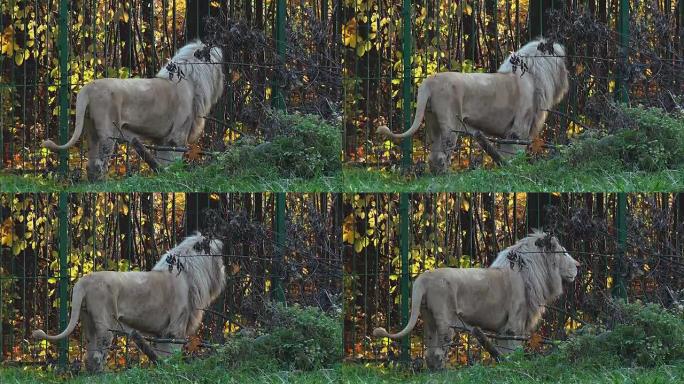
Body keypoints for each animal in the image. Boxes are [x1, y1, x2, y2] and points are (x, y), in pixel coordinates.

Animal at [32, 234, 224, 372]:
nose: (224, 267)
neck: (188, 270)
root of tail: (83, 281)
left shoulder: (162, 332)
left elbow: (163, 354)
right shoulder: (175, 328)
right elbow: (173, 353)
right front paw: (174, 368)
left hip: (88, 322)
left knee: (89, 355)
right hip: (105, 324)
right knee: (98, 355)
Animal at [42, 40, 224, 180]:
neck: (191, 80)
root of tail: (88, 88)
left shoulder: (163, 140)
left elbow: (164, 163)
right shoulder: (177, 138)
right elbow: (173, 163)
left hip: (90, 130)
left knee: (91, 165)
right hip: (108, 133)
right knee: (101, 163)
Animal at [374, 231, 576, 368]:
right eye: (564, 253)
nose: (579, 265)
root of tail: (423, 278)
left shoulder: (503, 329)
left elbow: (504, 351)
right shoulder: (514, 325)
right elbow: (514, 350)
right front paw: (514, 365)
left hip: (428, 320)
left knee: (429, 353)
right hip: (445, 322)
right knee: (438, 353)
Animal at [376, 39, 568, 172]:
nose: (567, 74)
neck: (533, 74)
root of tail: (428, 82)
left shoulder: (509, 133)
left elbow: (506, 154)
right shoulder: (519, 129)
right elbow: (516, 153)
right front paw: (516, 169)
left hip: (432, 123)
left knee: (433, 156)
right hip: (450, 125)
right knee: (442, 155)